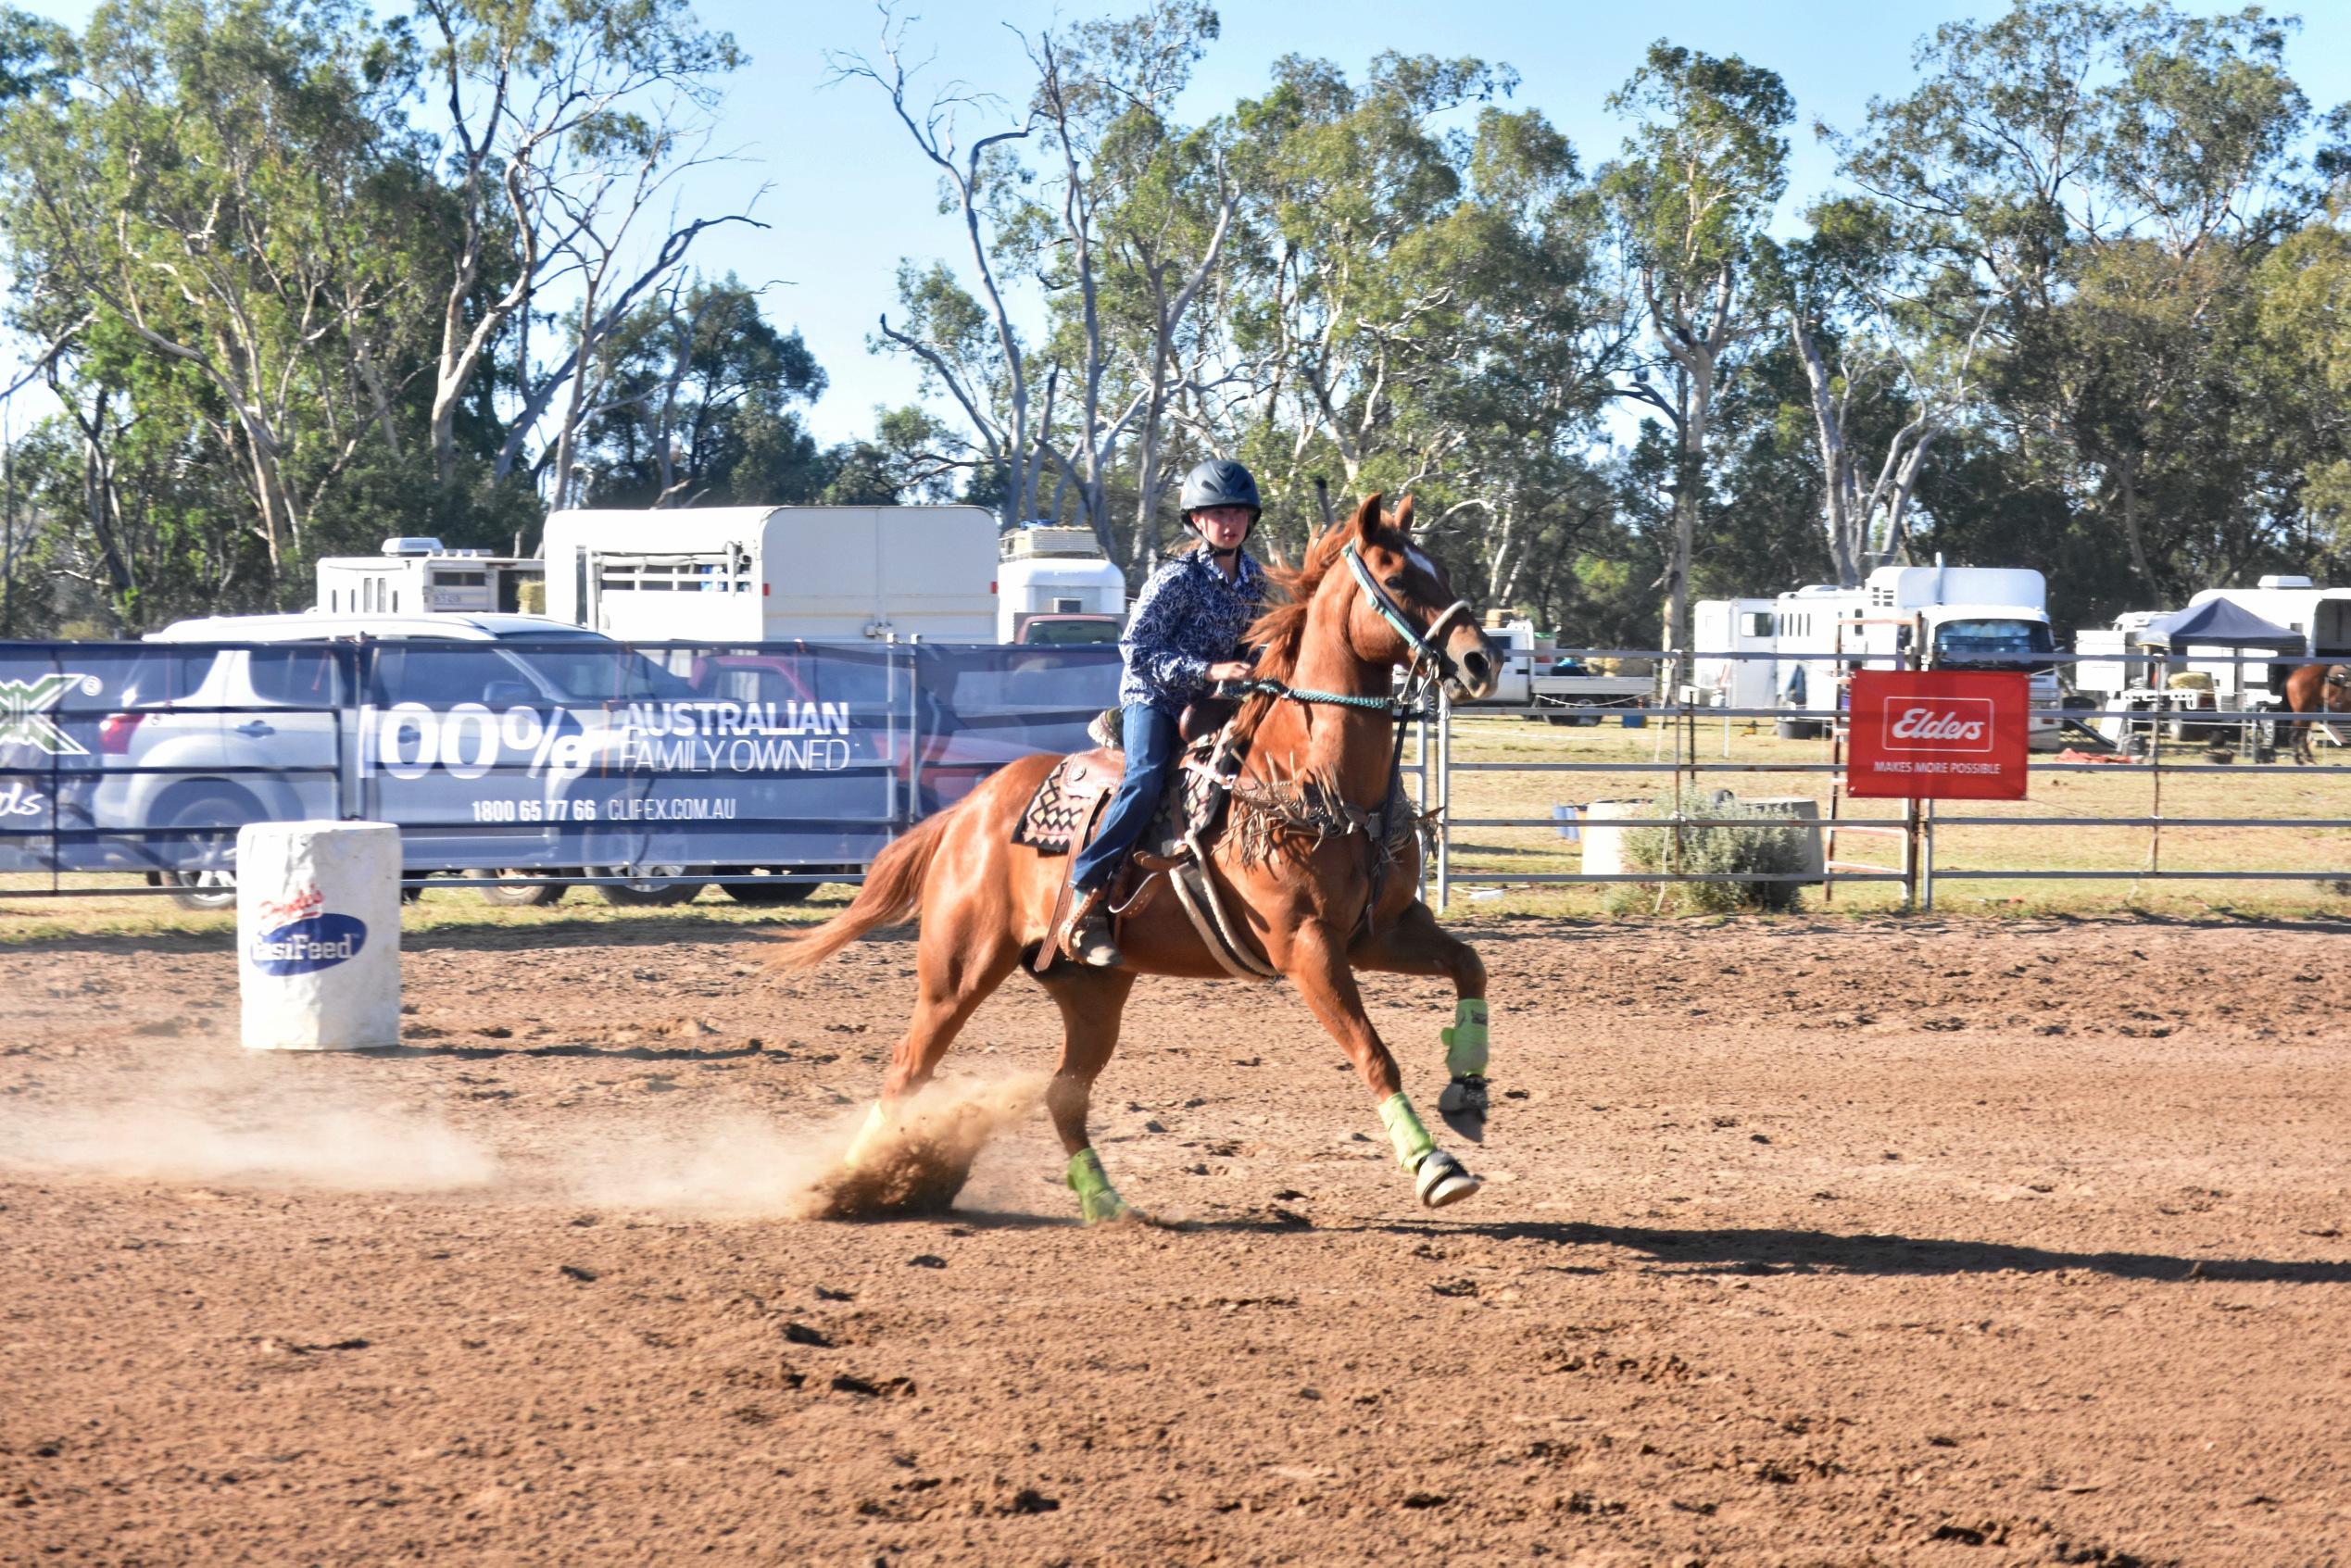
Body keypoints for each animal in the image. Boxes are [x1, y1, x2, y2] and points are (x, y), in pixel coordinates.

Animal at [775, 495, 1504, 1222]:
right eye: (1396, 575)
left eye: (1440, 569)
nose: (1481, 660)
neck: (1312, 775)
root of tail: (969, 811)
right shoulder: (1306, 946)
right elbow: (1373, 1052)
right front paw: (1434, 1165)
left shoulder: (1379, 931)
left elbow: (1470, 965)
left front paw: (1467, 1093)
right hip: (958, 969)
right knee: (908, 1067)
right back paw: (846, 1184)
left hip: (1092, 991)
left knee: (1063, 1092)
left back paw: (1104, 1199)